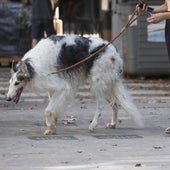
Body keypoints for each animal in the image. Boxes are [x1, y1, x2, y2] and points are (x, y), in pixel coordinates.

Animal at [5, 34, 143, 135]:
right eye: (10, 83)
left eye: (17, 83)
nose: (7, 98)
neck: (32, 65)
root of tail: (114, 50)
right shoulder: (52, 89)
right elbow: (52, 109)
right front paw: (53, 125)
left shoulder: (62, 87)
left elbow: (47, 110)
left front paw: (50, 128)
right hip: (106, 85)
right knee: (114, 104)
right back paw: (112, 124)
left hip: (97, 84)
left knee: (101, 107)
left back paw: (93, 125)